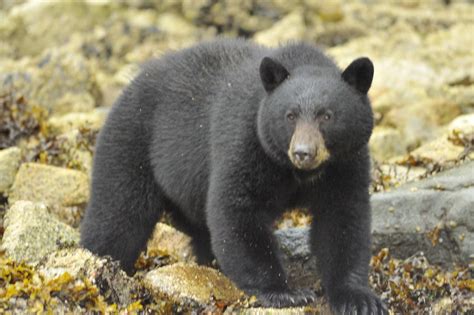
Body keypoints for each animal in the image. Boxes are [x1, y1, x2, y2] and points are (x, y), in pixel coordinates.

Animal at [80, 38, 386, 314]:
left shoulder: (346, 163)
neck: (297, 172)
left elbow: (342, 219)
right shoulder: (245, 140)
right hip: (131, 144)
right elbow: (236, 209)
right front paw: (284, 292)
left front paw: (358, 298)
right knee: (118, 216)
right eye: (290, 116)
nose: (303, 152)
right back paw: (95, 263)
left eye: (327, 116)